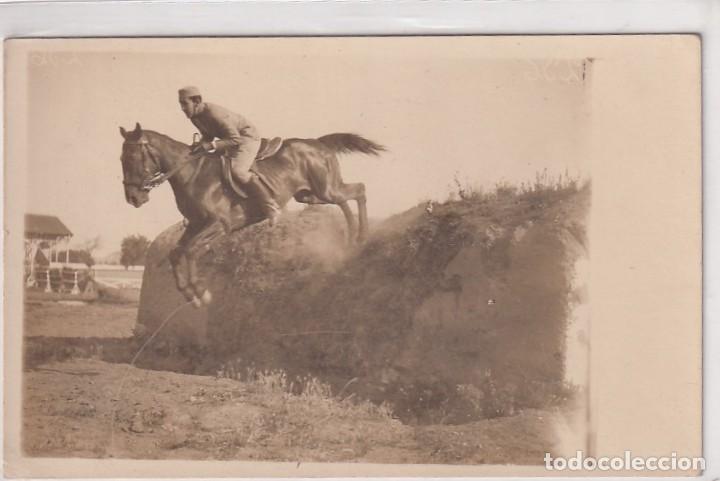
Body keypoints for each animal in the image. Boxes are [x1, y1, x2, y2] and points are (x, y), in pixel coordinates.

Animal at [119, 123, 384, 307]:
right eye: (121, 158)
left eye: (132, 158)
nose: (133, 198)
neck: (192, 173)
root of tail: (318, 143)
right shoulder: (195, 224)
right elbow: (176, 252)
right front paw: (190, 295)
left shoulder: (219, 224)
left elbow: (190, 251)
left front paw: (201, 293)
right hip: (310, 195)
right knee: (348, 197)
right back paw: (353, 236)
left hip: (325, 189)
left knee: (358, 190)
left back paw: (361, 236)